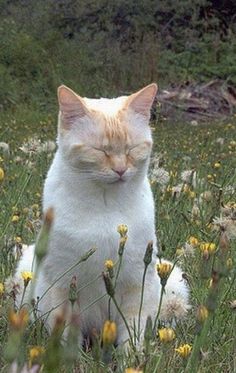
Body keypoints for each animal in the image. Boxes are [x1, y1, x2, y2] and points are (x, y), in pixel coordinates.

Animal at [14, 83, 188, 344]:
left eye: (131, 149)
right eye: (100, 150)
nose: (120, 170)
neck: (106, 207)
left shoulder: (137, 284)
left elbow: (132, 336)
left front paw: (132, 356)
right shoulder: (64, 286)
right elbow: (65, 338)